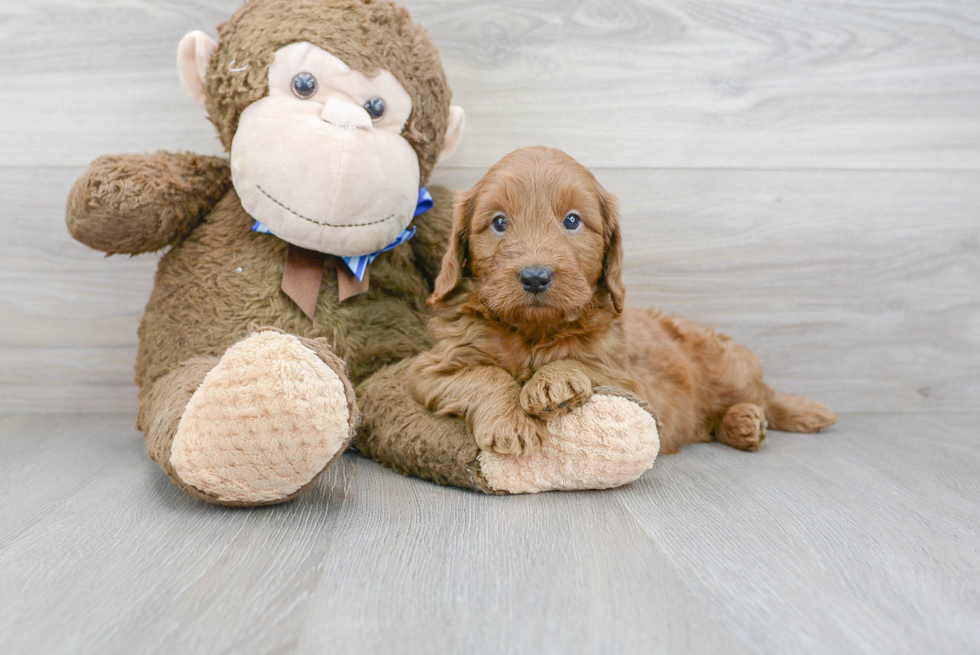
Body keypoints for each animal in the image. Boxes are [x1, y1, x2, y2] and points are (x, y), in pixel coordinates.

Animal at [410, 147, 840, 456]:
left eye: (572, 221)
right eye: (499, 222)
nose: (535, 276)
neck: (533, 331)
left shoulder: (626, 379)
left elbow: (581, 360)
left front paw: (552, 380)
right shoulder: (431, 368)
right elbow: (484, 375)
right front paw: (511, 424)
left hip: (728, 368)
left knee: (763, 395)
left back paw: (779, 414)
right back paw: (744, 425)